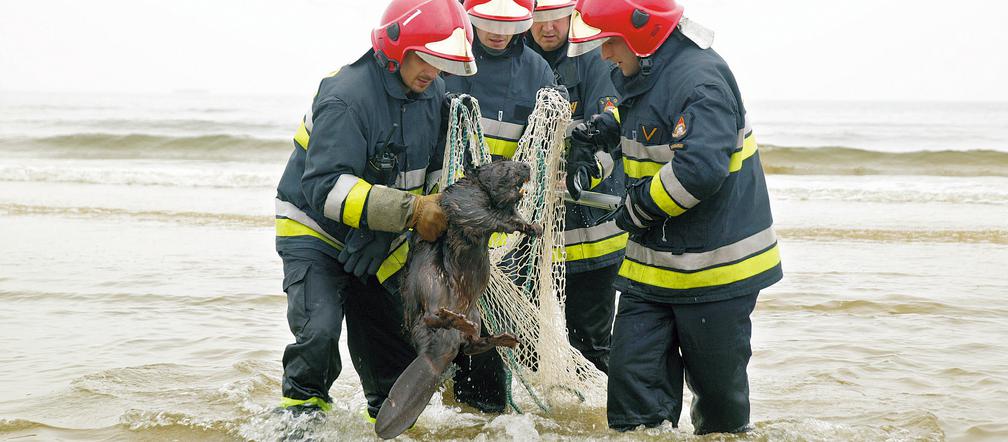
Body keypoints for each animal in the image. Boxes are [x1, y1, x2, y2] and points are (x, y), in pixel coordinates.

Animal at [374, 159, 540, 437]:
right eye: (504, 165)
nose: (526, 165)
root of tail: (432, 357)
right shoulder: (464, 198)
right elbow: (482, 216)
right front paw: (515, 221)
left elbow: (512, 213)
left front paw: (533, 226)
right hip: (429, 277)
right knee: (431, 315)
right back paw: (454, 318)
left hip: (474, 311)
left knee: (472, 344)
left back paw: (502, 337)